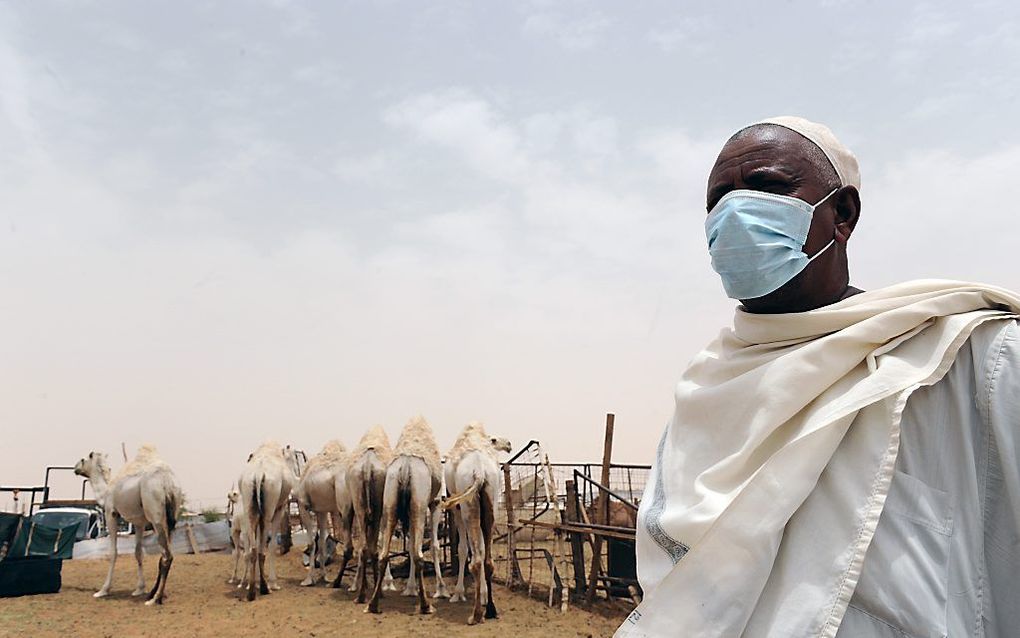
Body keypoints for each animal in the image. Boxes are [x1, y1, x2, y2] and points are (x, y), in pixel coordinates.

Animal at [72, 443, 182, 600]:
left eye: (83, 459)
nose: (75, 468)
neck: (106, 490)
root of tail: (168, 482)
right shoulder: (139, 522)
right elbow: (138, 552)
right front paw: (139, 589)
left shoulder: (111, 513)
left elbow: (113, 552)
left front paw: (103, 590)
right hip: (172, 517)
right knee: (165, 553)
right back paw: (153, 593)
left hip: (156, 515)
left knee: (167, 555)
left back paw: (155, 599)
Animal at [239, 440, 297, 600]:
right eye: (292, 457)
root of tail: (258, 474)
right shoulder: (280, 508)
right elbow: (272, 545)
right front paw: (274, 583)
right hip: (270, 504)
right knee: (262, 547)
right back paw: (265, 588)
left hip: (249, 501)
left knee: (253, 548)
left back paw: (252, 591)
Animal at [295, 440, 359, 583]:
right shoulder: (321, 511)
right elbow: (322, 543)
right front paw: (324, 576)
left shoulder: (303, 506)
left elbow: (312, 544)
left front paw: (308, 580)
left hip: (345, 506)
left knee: (350, 548)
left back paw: (338, 581)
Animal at [369, 416, 444, 616]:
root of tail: (405, 468)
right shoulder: (435, 503)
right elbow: (434, 545)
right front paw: (442, 590)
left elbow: (409, 546)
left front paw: (410, 589)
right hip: (419, 504)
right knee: (418, 554)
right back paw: (426, 605)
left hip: (390, 502)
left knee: (384, 553)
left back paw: (373, 604)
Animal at [442, 420, 514, 624]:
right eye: (494, 439)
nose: (509, 444)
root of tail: (480, 472)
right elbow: (480, 548)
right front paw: (481, 595)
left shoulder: (456, 509)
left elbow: (462, 549)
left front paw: (458, 594)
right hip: (491, 503)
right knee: (487, 559)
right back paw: (490, 609)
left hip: (468, 506)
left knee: (474, 559)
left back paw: (475, 615)